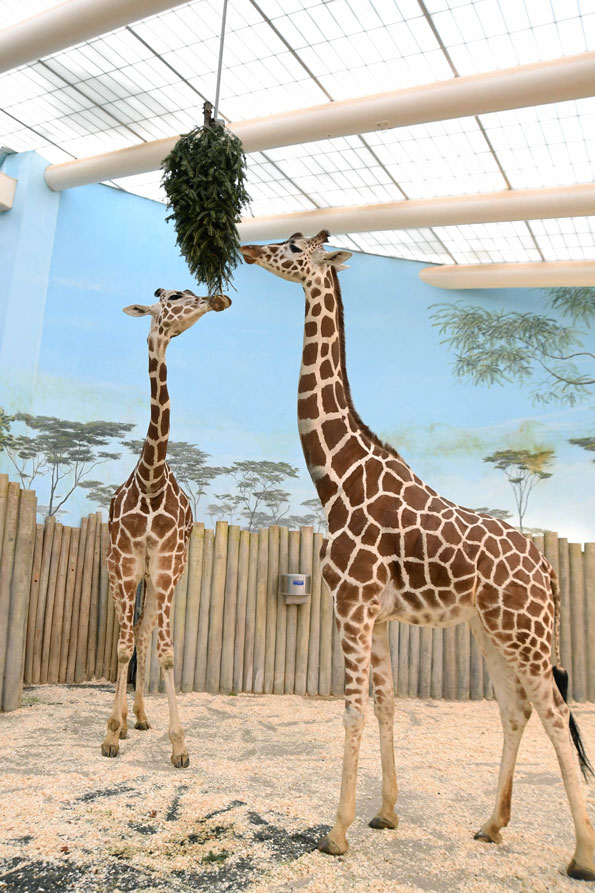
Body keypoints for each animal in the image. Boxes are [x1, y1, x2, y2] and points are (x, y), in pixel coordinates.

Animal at [101, 286, 232, 768]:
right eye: (175, 295)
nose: (218, 298)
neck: (152, 480)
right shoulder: (125, 562)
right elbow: (123, 646)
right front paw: (111, 736)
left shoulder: (167, 563)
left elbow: (168, 653)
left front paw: (179, 745)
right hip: (122, 571)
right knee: (130, 631)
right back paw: (123, 721)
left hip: (158, 576)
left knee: (144, 628)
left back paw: (139, 718)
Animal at [241, 230, 595, 880]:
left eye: (295, 246)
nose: (251, 248)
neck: (337, 479)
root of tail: (549, 569)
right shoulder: (377, 614)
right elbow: (386, 705)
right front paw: (385, 814)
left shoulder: (351, 604)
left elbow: (352, 710)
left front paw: (336, 833)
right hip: (493, 631)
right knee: (516, 710)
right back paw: (491, 825)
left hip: (525, 632)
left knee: (556, 712)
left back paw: (581, 854)